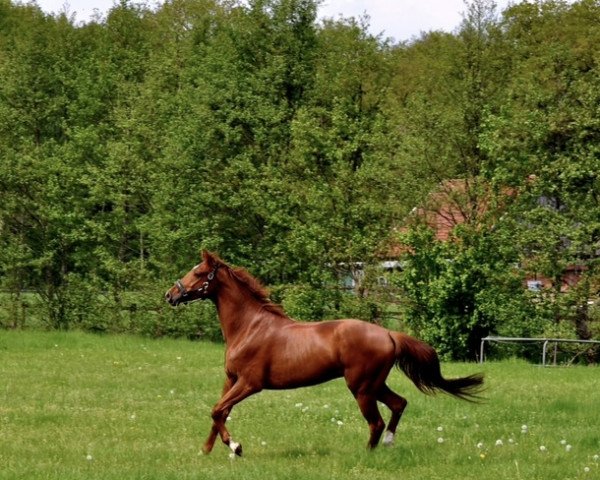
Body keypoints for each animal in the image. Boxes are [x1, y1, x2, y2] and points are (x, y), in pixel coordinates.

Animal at [164, 253, 482, 456]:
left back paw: (367, 453)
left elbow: (217, 410)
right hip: (374, 384)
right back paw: (389, 444)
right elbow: (220, 411)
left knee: (377, 421)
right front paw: (207, 450)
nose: (171, 295)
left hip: (361, 387)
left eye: (199, 273)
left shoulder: (250, 384)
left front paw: (237, 447)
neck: (249, 327)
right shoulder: (231, 380)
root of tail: (389, 334)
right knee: (399, 404)